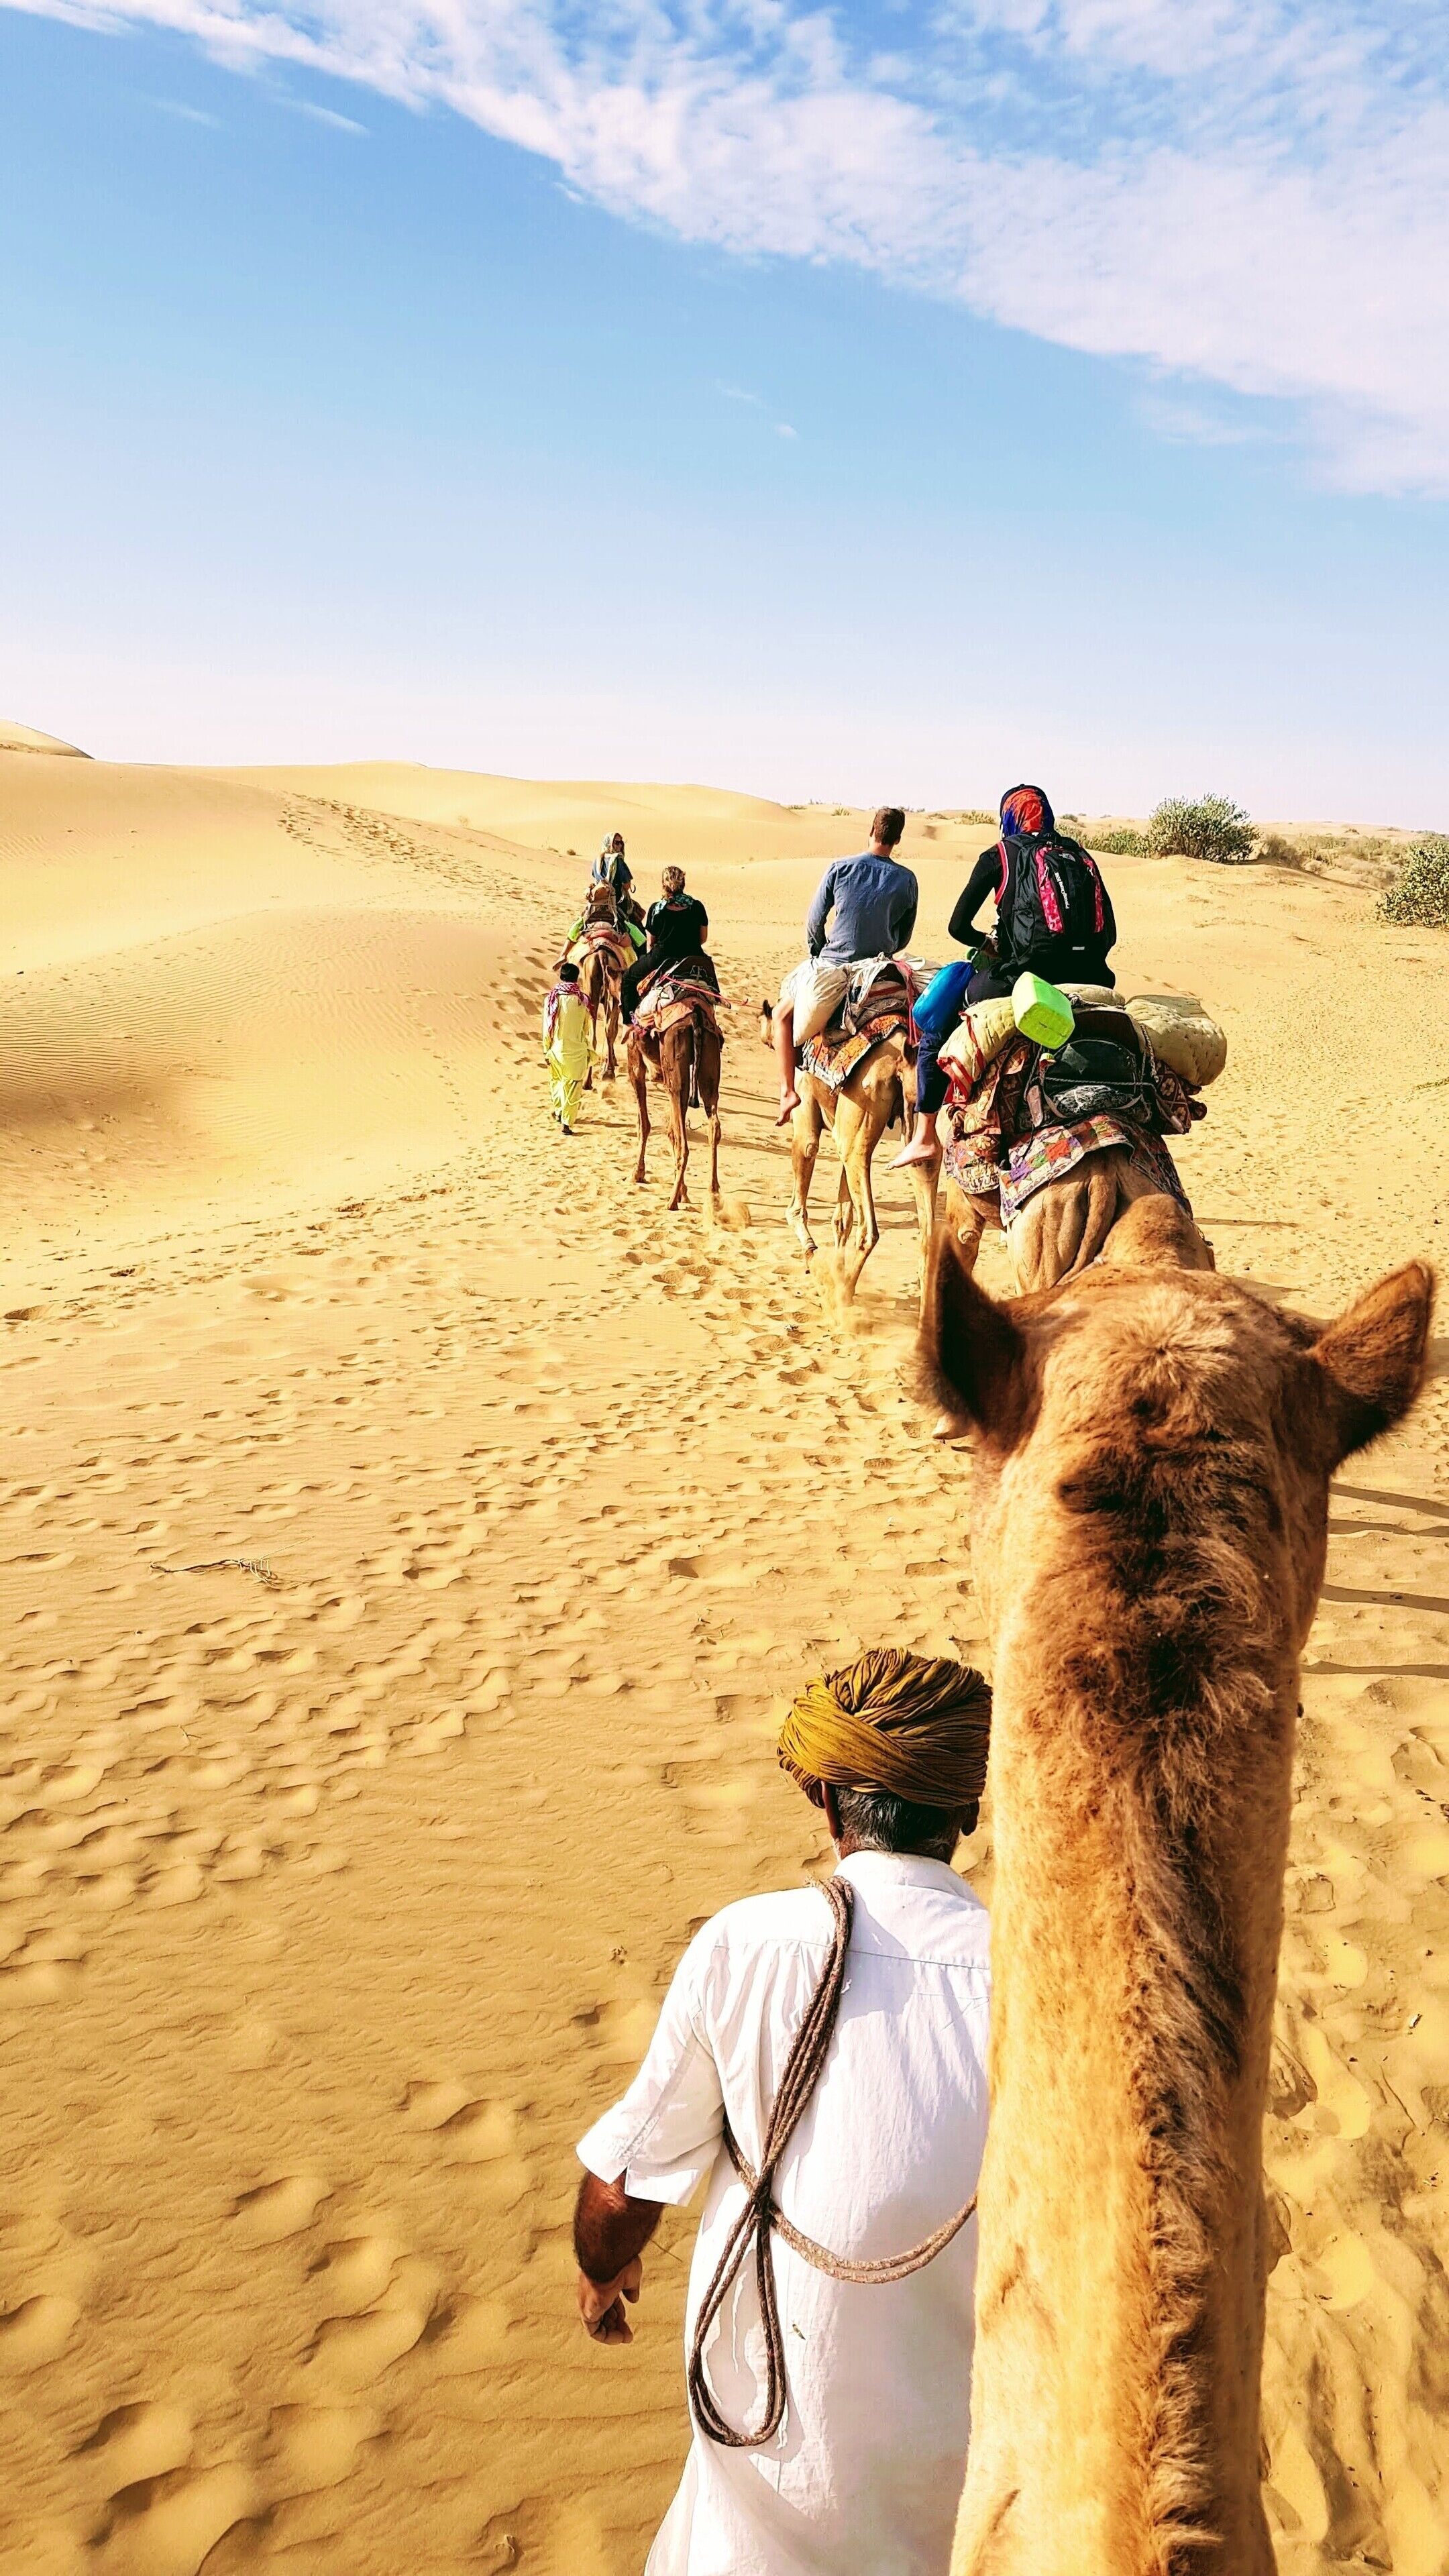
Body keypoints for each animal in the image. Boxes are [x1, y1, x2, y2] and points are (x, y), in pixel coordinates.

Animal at [627, 1002, 722, 1212]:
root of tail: (695, 1016)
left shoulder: (635, 1062)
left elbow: (644, 1124)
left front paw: (638, 1173)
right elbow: (670, 1131)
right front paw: (684, 1194)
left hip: (675, 1072)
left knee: (683, 1144)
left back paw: (671, 1202)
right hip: (709, 1066)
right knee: (713, 1126)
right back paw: (713, 1192)